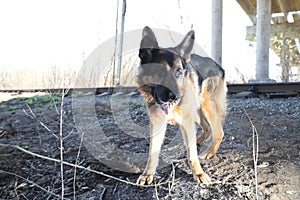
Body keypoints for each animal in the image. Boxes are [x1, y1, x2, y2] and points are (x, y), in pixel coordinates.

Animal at [137, 26, 227, 184]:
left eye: (179, 72)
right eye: (159, 71)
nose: (176, 97)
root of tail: (217, 65)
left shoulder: (187, 121)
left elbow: (192, 154)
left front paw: (199, 173)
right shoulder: (157, 123)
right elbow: (153, 151)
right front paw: (148, 174)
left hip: (207, 107)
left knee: (218, 131)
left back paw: (209, 152)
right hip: (198, 110)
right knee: (207, 128)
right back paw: (197, 141)